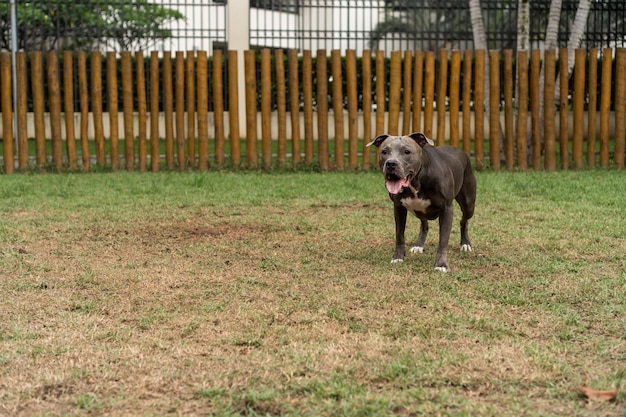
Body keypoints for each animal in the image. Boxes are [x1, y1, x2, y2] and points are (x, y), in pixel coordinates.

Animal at [364, 132, 476, 272]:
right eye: (384, 151)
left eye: (407, 151)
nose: (391, 164)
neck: (417, 180)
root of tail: (461, 151)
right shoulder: (399, 208)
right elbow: (399, 235)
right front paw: (398, 257)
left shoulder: (446, 209)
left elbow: (443, 240)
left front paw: (441, 264)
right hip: (419, 211)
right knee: (424, 225)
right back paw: (419, 245)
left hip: (468, 204)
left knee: (463, 221)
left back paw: (465, 243)